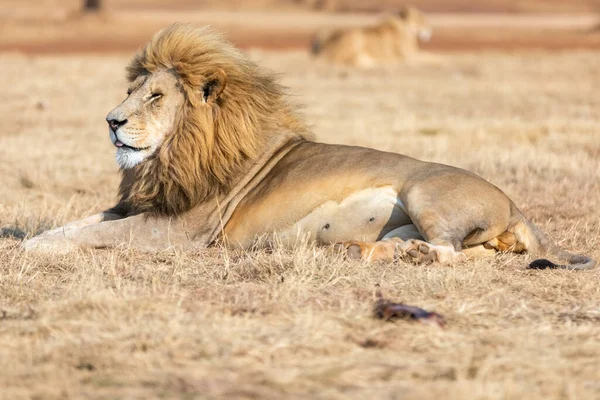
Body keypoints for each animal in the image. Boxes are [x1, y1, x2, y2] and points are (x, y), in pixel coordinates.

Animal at [23, 23, 596, 270]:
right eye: (130, 91)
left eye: (156, 96)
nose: (111, 121)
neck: (175, 155)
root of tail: (516, 204)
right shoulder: (144, 205)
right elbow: (80, 223)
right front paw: (32, 239)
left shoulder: (181, 231)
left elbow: (97, 235)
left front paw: (34, 248)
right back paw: (367, 250)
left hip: (424, 193)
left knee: (454, 254)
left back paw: (407, 254)